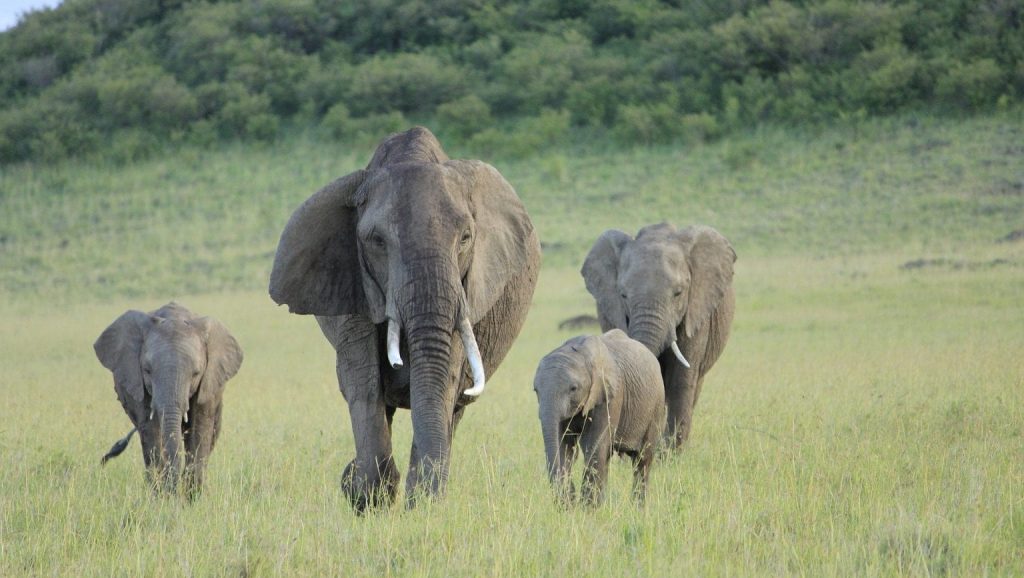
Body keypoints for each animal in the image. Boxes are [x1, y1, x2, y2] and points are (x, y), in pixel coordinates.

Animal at [92, 303, 243, 496]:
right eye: (147, 370)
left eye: (196, 373)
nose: (103, 460)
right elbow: (151, 430)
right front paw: (162, 496)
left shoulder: (208, 384)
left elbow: (199, 430)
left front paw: (192, 498)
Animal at [270, 125, 544, 510]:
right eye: (376, 241)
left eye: (466, 238)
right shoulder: (355, 280)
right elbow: (364, 382)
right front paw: (367, 494)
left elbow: (441, 382)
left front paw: (422, 506)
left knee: (453, 411)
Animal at [532, 329, 667, 506]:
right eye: (535, 390)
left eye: (573, 388)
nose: (567, 499)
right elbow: (564, 446)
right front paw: (569, 506)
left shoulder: (610, 396)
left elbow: (593, 446)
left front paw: (586, 508)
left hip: (656, 407)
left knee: (642, 460)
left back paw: (638, 508)